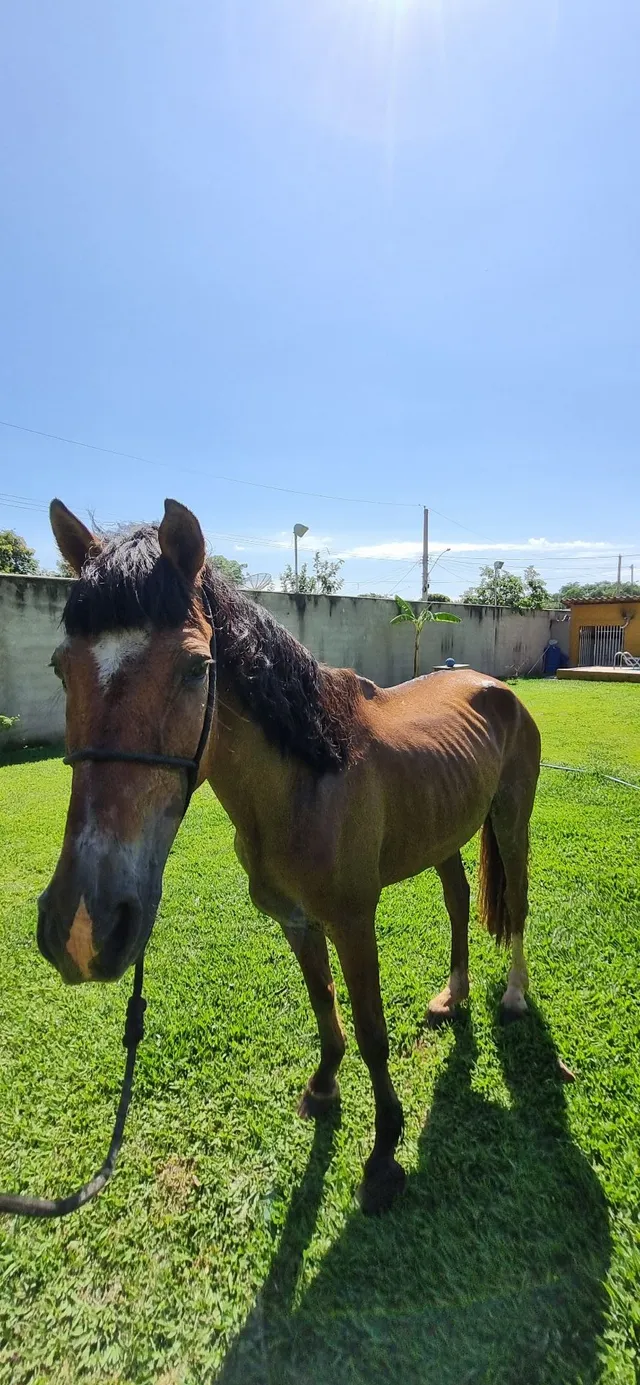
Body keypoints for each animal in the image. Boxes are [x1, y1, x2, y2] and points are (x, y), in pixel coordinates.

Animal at [38, 497, 541, 1213]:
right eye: (61, 666)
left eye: (197, 667)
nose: (85, 925)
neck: (310, 779)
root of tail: (492, 685)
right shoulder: (296, 921)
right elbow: (323, 1004)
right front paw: (324, 1087)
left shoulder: (353, 922)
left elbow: (371, 1031)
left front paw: (384, 1153)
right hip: (444, 832)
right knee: (457, 901)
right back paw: (454, 995)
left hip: (510, 819)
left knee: (516, 903)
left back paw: (515, 996)